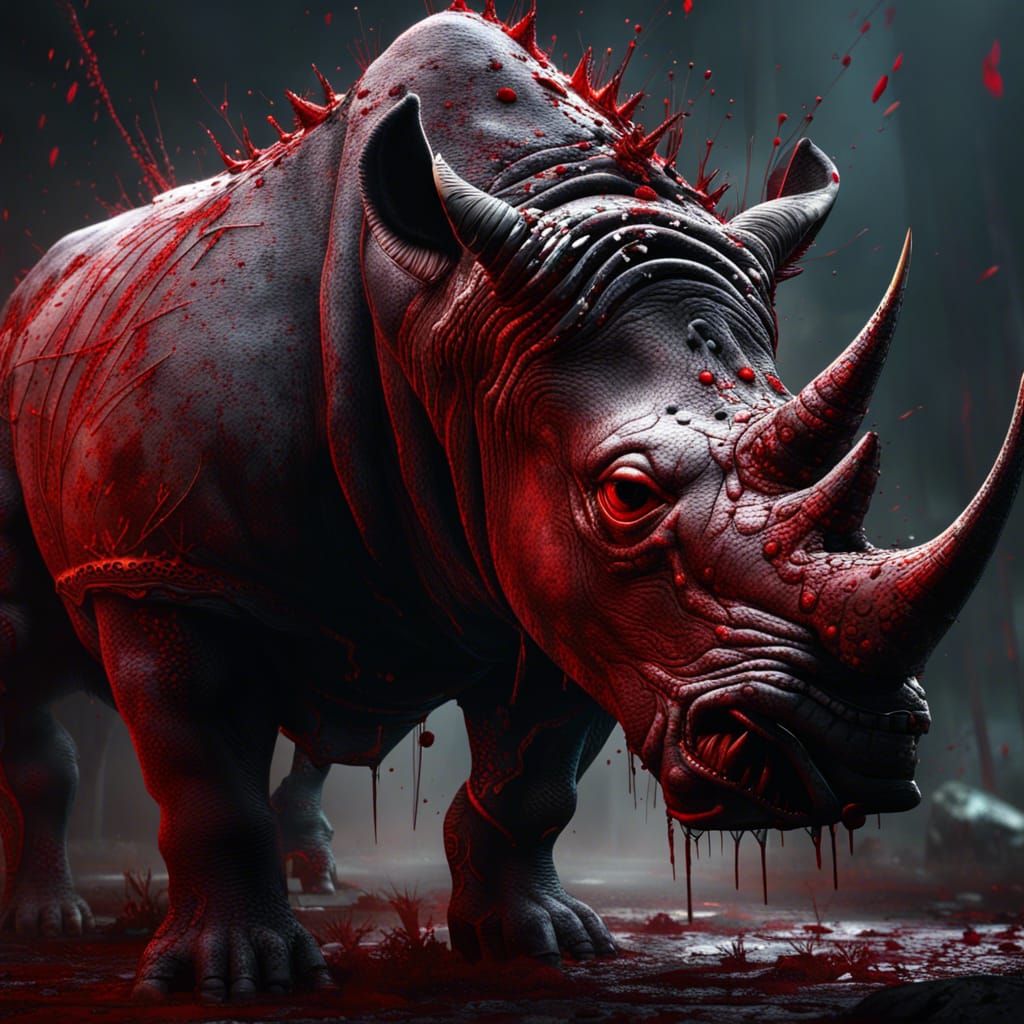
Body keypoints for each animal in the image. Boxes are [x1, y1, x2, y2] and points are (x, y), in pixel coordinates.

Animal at [0, 0, 1021, 1003]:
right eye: (627, 494)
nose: (863, 745)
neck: (443, 312)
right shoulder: (163, 567)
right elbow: (206, 777)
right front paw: (236, 978)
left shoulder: (573, 591)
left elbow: (536, 778)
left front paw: (540, 943)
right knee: (30, 659)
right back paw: (52, 925)